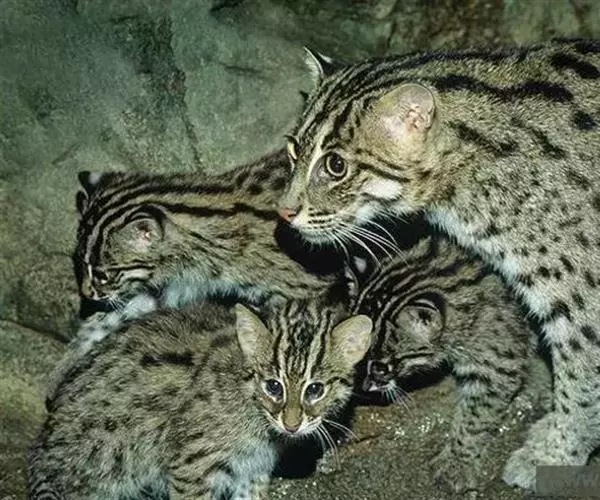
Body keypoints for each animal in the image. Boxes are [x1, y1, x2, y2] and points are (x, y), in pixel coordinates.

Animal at [29, 298, 373, 499]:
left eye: (315, 389)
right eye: (273, 386)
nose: (291, 426)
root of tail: (40, 451)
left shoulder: (252, 469)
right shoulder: (192, 464)